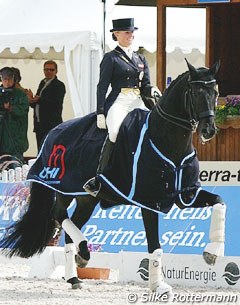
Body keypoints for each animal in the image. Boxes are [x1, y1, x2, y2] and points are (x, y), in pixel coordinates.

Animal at [0, 58, 225, 294]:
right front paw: (159, 286)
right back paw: (83, 253)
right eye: (197, 92)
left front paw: (213, 252)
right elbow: (155, 246)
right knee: (58, 215)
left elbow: (219, 201)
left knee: (70, 226)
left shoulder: (186, 195)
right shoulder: (148, 200)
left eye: (216, 91)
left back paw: (75, 274)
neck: (166, 139)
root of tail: (53, 130)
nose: (209, 130)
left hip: (86, 199)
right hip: (64, 189)